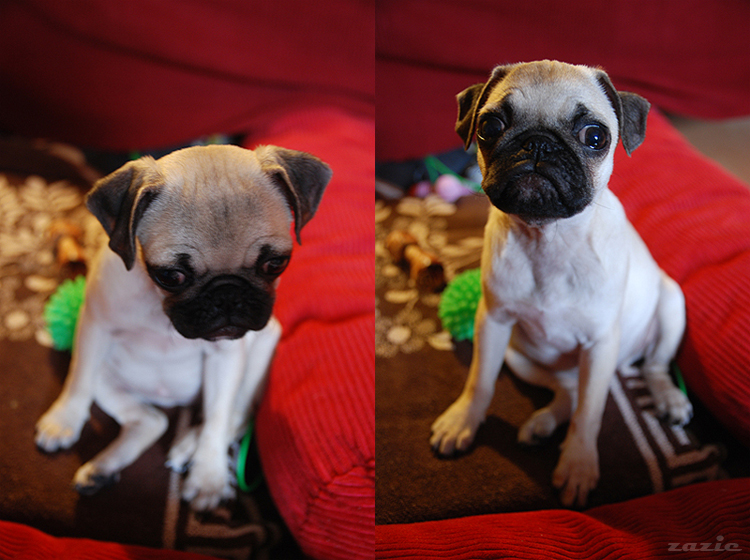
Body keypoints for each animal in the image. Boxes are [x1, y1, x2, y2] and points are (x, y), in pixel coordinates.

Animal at [35, 144, 331, 510]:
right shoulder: (95, 326)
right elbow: (78, 380)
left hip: (262, 349)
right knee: (151, 419)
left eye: (275, 264)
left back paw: (188, 445)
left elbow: (218, 418)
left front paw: (209, 476)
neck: (162, 312)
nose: (227, 294)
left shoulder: (227, 357)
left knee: (235, 413)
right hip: (109, 376)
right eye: (171, 275)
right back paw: (103, 469)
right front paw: (64, 420)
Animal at [430, 60, 692, 508]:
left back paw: (668, 397)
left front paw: (579, 464)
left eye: (595, 137)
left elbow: (590, 413)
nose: (537, 144)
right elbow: (480, 380)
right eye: (490, 126)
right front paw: (463, 420)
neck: (546, 240)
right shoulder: (492, 322)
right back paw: (542, 423)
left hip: (669, 305)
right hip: (519, 355)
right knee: (567, 392)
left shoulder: (600, 344)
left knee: (652, 366)